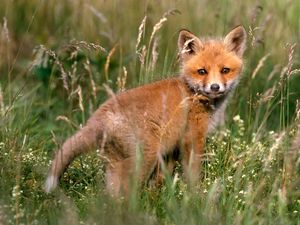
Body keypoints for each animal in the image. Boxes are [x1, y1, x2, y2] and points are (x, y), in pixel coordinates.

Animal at [44, 25, 246, 196]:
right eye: (202, 71)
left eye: (225, 70)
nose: (215, 87)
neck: (192, 93)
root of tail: (97, 118)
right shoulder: (192, 138)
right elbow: (193, 175)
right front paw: (196, 197)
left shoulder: (170, 149)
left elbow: (160, 180)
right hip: (144, 158)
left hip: (116, 164)